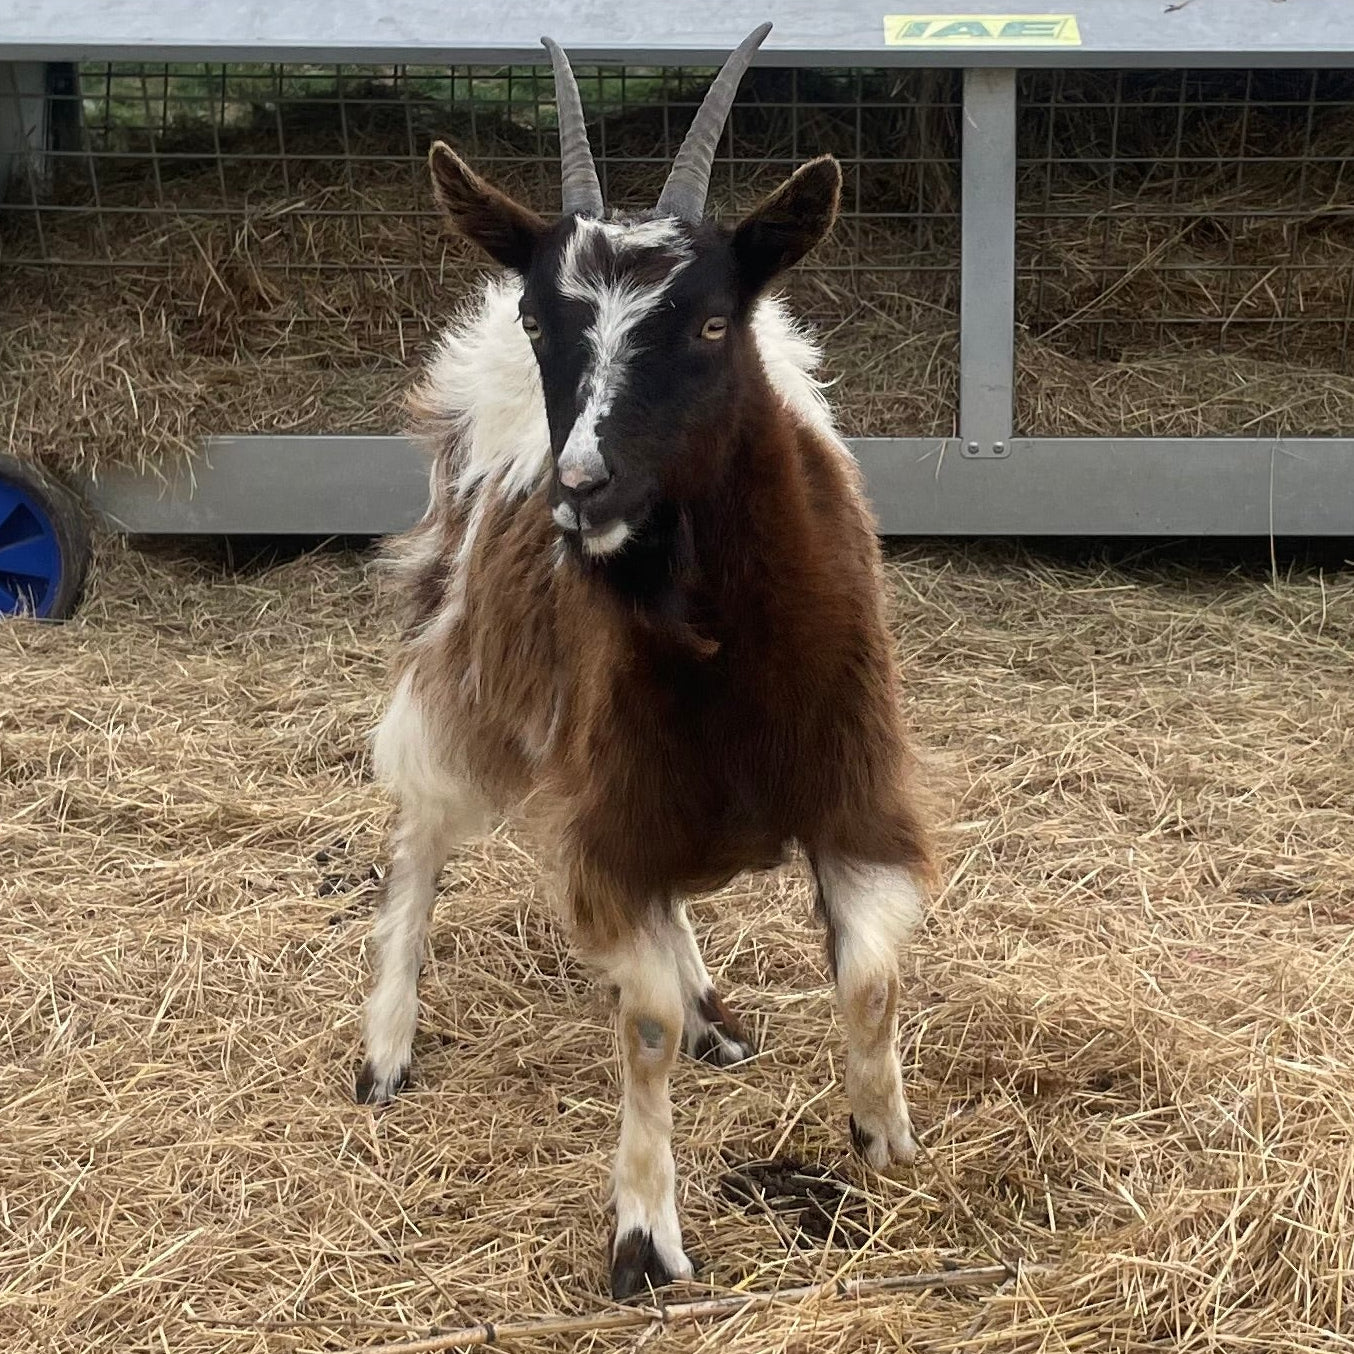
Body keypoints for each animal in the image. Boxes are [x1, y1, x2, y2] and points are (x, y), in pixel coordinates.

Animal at [357, 23, 936, 1299]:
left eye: (713, 323)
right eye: (546, 321)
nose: (583, 488)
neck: (726, 643)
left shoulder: (851, 784)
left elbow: (868, 977)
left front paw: (881, 1132)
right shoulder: (615, 801)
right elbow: (645, 1024)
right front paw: (643, 1235)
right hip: (465, 664)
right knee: (420, 833)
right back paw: (383, 1046)